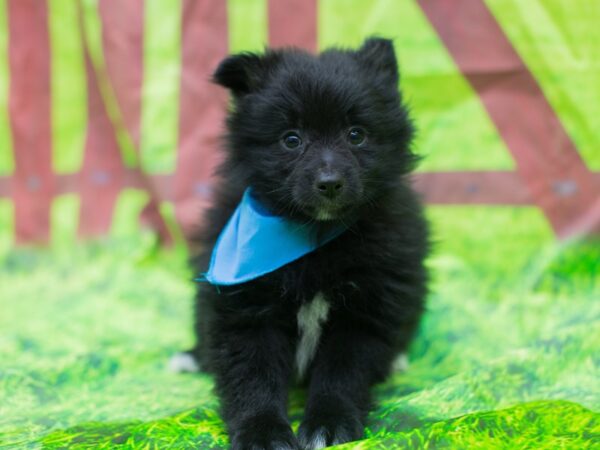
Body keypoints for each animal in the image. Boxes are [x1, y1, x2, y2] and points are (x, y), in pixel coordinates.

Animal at [173, 37, 432, 448]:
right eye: (291, 140)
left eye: (356, 134)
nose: (329, 183)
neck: (315, 237)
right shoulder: (245, 308)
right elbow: (253, 375)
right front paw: (262, 431)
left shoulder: (364, 310)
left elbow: (343, 374)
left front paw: (331, 423)